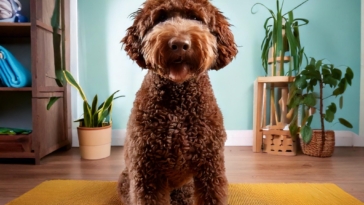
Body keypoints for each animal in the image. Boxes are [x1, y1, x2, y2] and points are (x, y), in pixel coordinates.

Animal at [117, 0, 239, 204]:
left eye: (196, 18)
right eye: (161, 18)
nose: (180, 44)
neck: (178, 106)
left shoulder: (211, 167)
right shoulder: (146, 172)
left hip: (187, 187)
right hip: (127, 180)